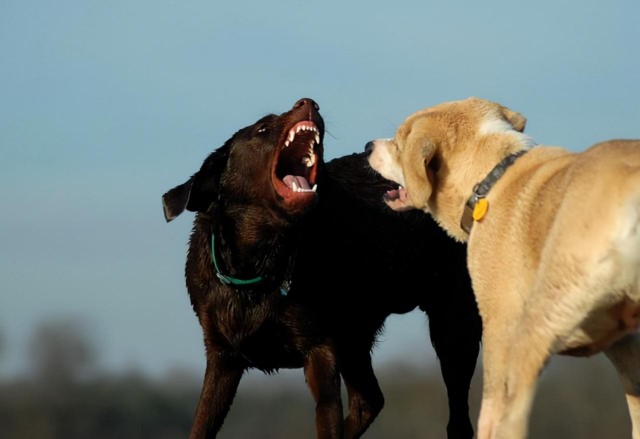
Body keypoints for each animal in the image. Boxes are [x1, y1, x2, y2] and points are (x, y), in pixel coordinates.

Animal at [162, 99, 482, 439]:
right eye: (262, 129)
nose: (307, 102)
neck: (262, 261)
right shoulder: (222, 358)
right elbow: (201, 426)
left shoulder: (320, 352)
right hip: (357, 339)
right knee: (369, 400)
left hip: (453, 327)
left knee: (457, 419)